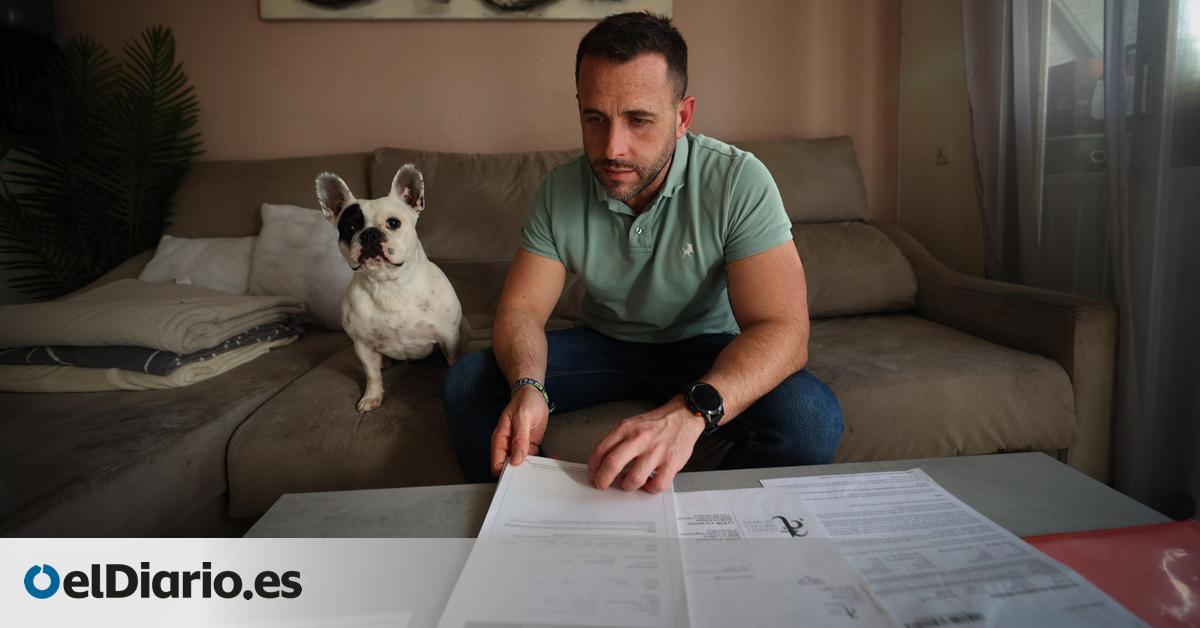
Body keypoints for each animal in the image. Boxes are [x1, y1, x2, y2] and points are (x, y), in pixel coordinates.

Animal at [316, 164, 470, 412]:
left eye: (394, 223)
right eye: (350, 227)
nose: (369, 234)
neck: (388, 285)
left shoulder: (448, 337)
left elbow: (454, 361)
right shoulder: (362, 346)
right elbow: (372, 374)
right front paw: (372, 396)